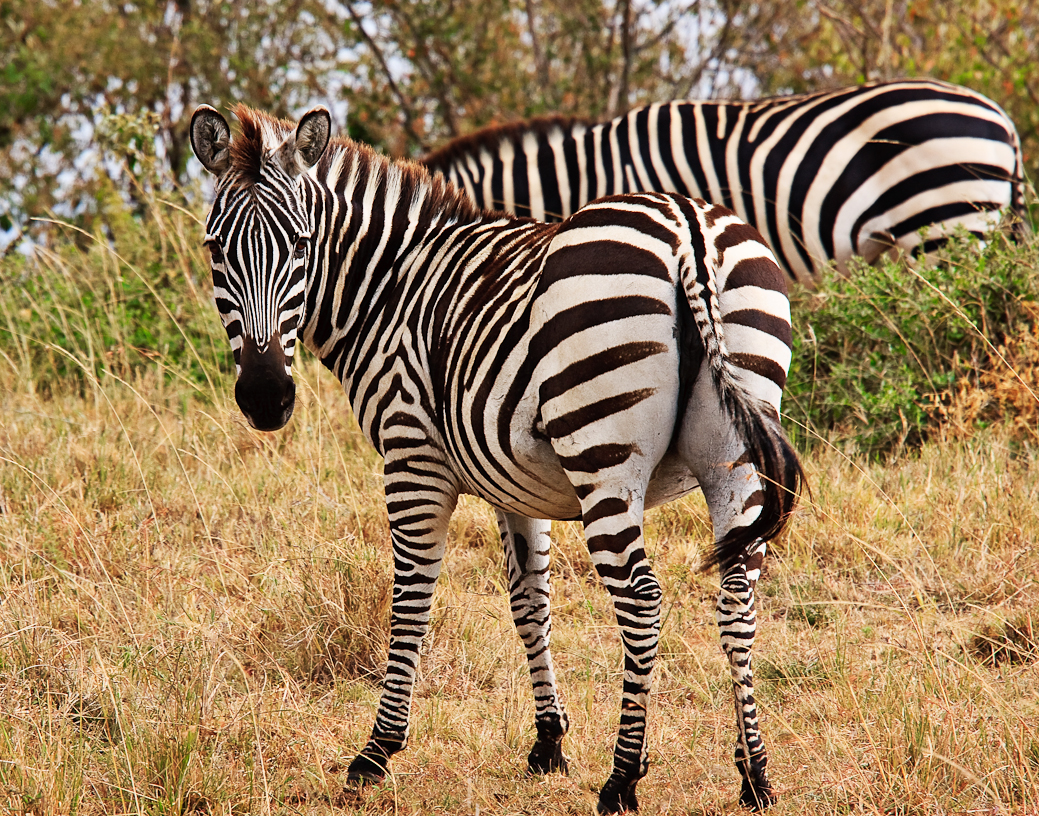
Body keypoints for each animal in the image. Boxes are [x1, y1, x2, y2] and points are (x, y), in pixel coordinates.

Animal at [190, 101, 803, 812]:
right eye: (214, 250)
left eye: (300, 244)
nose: (265, 398)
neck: (390, 289)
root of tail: (689, 233)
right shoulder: (517, 483)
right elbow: (529, 601)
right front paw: (548, 743)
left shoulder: (412, 457)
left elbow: (411, 599)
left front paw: (377, 752)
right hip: (734, 453)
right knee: (737, 594)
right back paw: (754, 774)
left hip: (605, 454)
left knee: (641, 599)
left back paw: (623, 778)